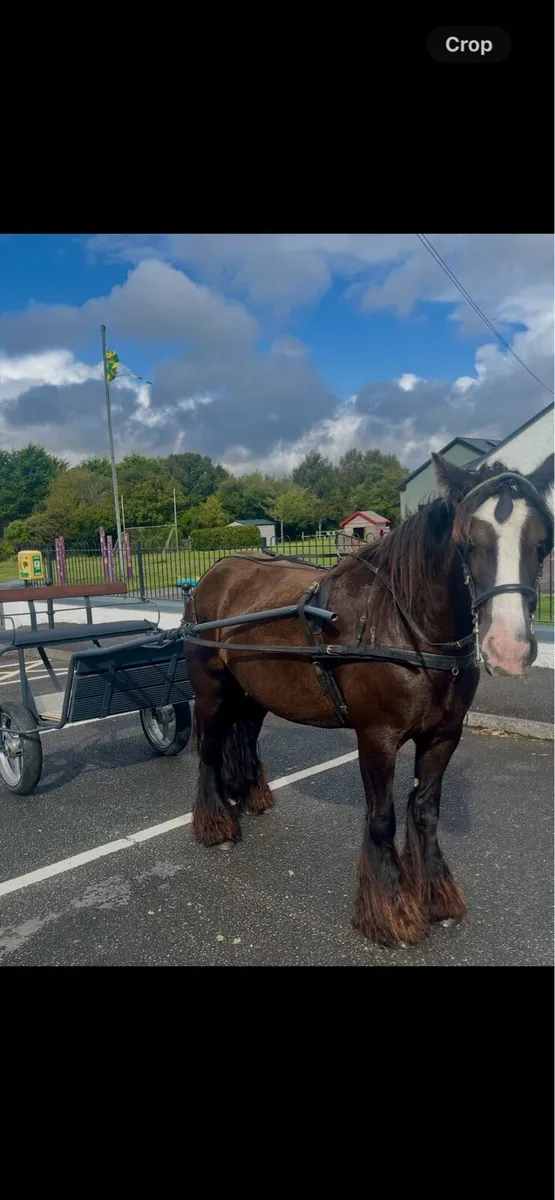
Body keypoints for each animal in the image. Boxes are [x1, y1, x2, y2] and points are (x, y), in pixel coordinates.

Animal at [183, 452, 554, 946]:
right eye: (467, 541)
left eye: (542, 541)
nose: (509, 648)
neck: (403, 624)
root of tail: (216, 571)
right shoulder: (376, 738)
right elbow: (382, 818)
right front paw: (391, 914)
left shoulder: (443, 737)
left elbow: (426, 812)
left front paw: (437, 897)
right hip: (211, 691)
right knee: (208, 750)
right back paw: (216, 824)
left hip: (252, 694)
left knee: (242, 739)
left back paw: (246, 795)